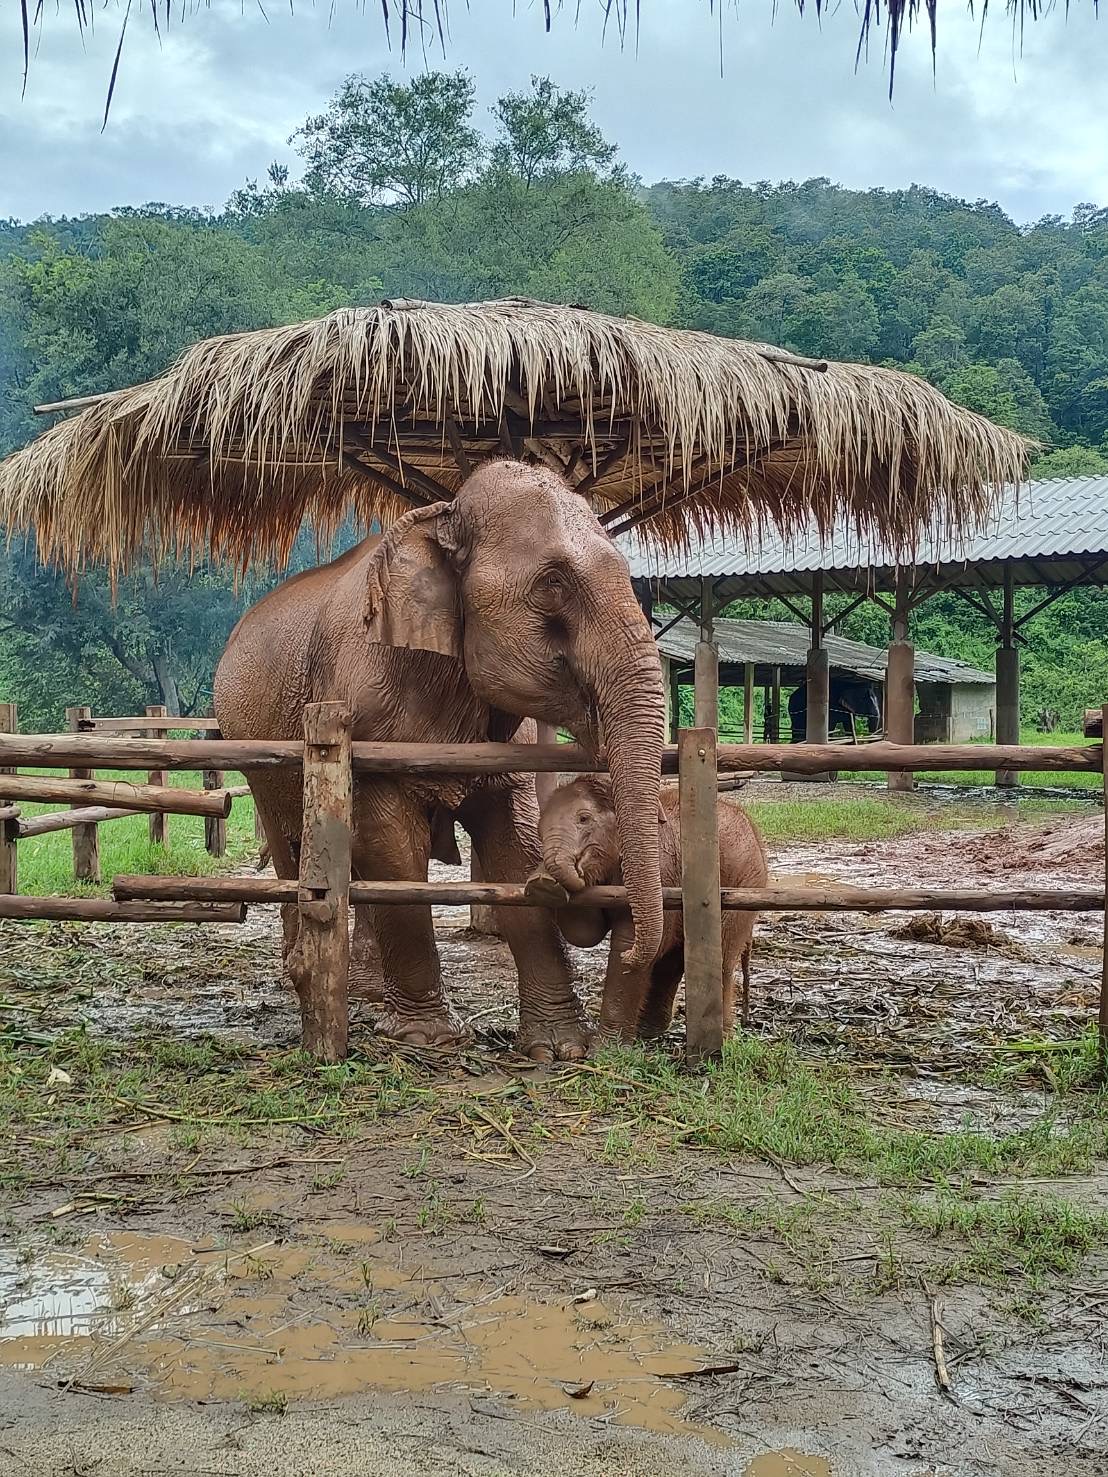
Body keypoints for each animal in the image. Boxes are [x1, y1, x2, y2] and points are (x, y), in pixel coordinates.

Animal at [213, 460, 667, 1060]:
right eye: (553, 583)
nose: (634, 948)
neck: (443, 517)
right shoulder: (362, 707)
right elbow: (393, 849)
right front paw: (427, 1039)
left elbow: (513, 844)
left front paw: (557, 1048)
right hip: (258, 751)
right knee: (293, 847)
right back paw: (305, 976)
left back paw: (365, 991)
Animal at [531, 775, 768, 1041]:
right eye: (539, 828)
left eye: (584, 819)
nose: (541, 878)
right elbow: (584, 931)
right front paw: (543, 884)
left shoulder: (661, 875)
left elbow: (629, 938)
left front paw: (604, 1046)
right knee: (673, 958)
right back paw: (648, 1031)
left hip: (745, 881)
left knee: (722, 956)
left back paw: (723, 1036)